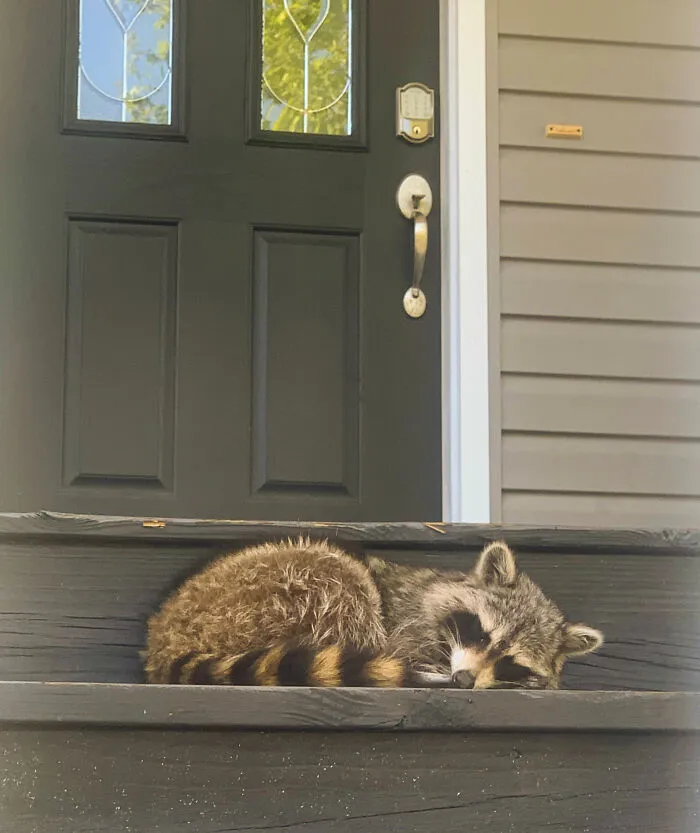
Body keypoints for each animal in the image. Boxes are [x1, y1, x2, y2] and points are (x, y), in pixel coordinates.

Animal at [144, 537, 603, 689]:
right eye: (482, 633)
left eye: (511, 661)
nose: (464, 679)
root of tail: (163, 634)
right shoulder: (407, 622)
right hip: (267, 588)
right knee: (346, 580)